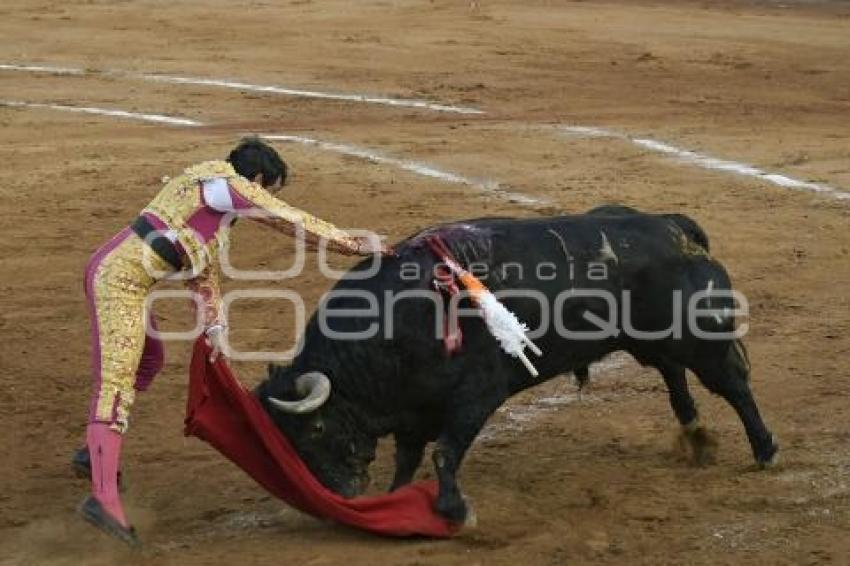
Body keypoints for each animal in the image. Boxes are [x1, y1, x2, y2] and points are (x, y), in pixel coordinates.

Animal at [255, 209, 780, 524]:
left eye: (315, 429)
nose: (340, 494)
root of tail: (672, 226)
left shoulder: (474, 396)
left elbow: (445, 452)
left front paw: (454, 510)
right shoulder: (413, 409)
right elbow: (408, 457)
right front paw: (396, 500)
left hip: (702, 337)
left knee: (734, 386)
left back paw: (764, 449)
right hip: (650, 340)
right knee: (673, 373)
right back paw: (695, 435)